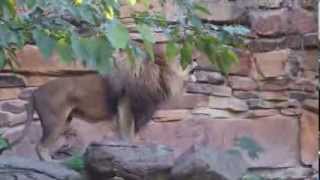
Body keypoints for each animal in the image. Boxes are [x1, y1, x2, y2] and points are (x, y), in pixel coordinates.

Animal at [8, 43, 198, 162]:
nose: (196, 58)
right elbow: (128, 131)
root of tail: (35, 91)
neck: (159, 75)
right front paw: (132, 148)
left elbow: (126, 132)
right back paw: (52, 163)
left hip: (65, 121)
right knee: (40, 146)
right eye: (184, 57)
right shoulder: (126, 104)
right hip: (54, 121)